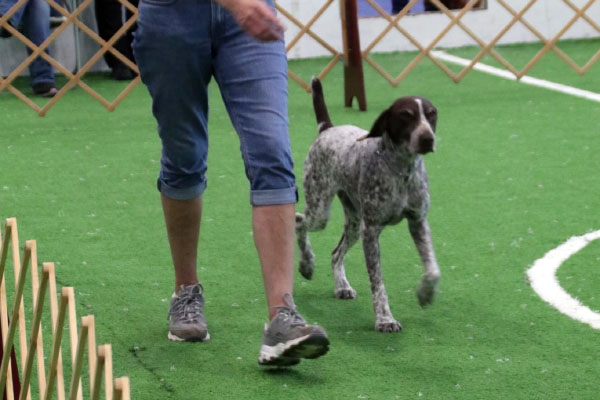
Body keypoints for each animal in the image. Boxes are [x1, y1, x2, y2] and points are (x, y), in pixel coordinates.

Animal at [296, 77, 440, 332]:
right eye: (406, 115)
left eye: (431, 114)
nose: (427, 138)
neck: (401, 171)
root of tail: (328, 128)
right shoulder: (371, 231)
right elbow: (378, 283)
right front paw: (385, 319)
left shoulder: (418, 222)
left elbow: (433, 270)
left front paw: (425, 293)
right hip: (320, 211)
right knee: (298, 221)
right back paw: (307, 264)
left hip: (354, 225)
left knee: (336, 253)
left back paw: (341, 286)